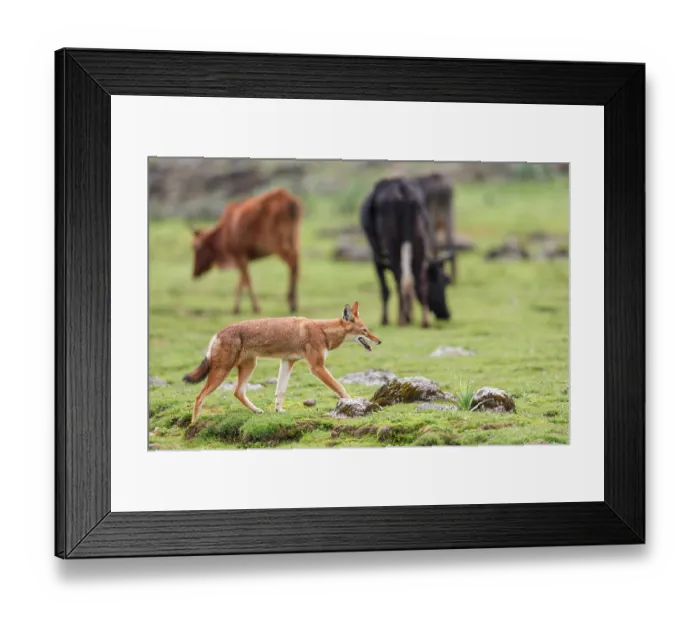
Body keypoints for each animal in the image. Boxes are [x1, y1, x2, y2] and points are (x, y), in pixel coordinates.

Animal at [360, 177, 452, 328]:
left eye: (445, 282)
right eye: (441, 282)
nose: (446, 314)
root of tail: (402, 188)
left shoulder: (377, 258)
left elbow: (385, 289)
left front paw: (385, 320)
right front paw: (410, 317)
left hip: (393, 246)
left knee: (400, 282)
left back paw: (401, 320)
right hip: (420, 241)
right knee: (418, 282)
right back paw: (424, 321)